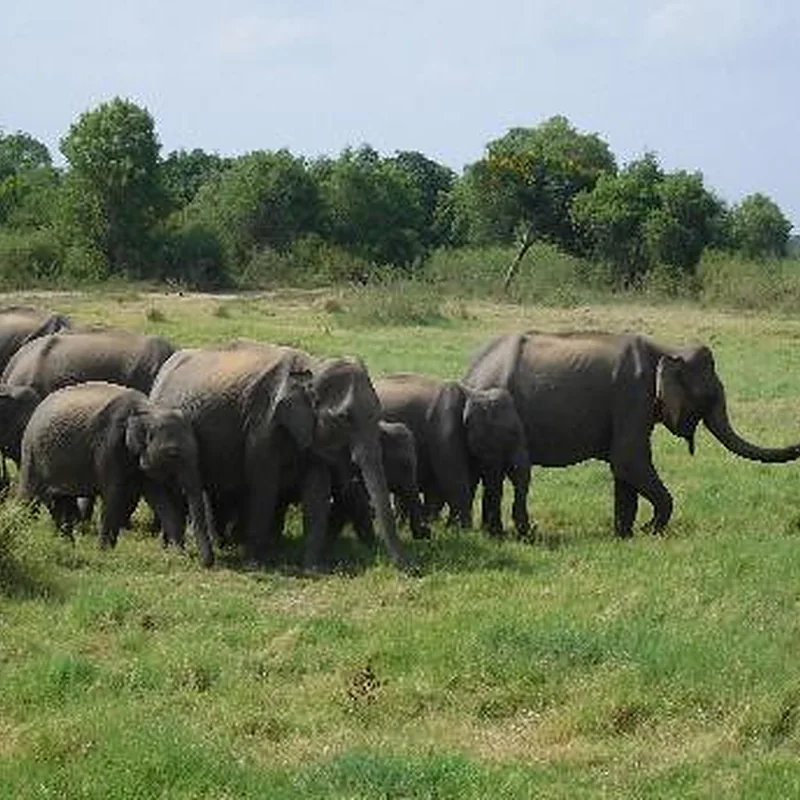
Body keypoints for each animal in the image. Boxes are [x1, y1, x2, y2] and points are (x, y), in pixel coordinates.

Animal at [18, 381, 214, 566]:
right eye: (173, 453)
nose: (206, 564)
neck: (149, 409)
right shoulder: (108, 446)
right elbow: (114, 494)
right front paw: (104, 552)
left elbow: (160, 498)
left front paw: (178, 554)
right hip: (31, 452)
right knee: (30, 497)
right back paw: (24, 533)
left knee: (60, 501)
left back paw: (66, 545)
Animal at [149, 342, 408, 571]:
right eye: (344, 418)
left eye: (379, 412)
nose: (406, 568)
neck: (312, 367)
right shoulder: (263, 423)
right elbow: (264, 484)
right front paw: (256, 564)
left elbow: (317, 489)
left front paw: (314, 568)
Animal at [375, 373, 530, 538]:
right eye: (512, 434)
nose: (527, 535)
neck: (474, 395)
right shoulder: (444, 430)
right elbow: (453, 478)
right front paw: (464, 532)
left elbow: (469, 479)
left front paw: (453, 529)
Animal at [463, 331, 800, 537]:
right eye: (709, 396)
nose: (796, 445)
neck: (667, 349)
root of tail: (471, 371)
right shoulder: (633, 393)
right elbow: (628, 460)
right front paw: (650, 530)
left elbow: (623, 469)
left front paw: (624, 534)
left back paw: (493, 532)